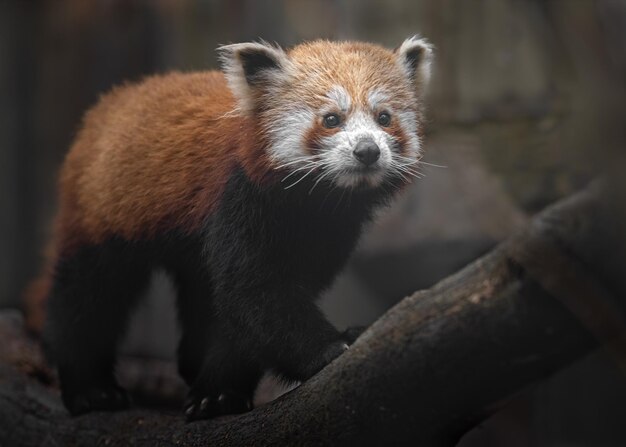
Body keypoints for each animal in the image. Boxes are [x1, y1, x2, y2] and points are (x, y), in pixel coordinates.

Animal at [26, 36, 432, 422]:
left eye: (384, 117)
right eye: (332, 119)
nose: (367, 151)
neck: (316, 202)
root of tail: (115, 100)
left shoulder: (329, 232)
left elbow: (246, 317)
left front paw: (218, 391)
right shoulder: (239, 197)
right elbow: (254, 292)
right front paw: (330, 347)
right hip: (103, 210)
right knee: (87, 293)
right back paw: (91, 389)